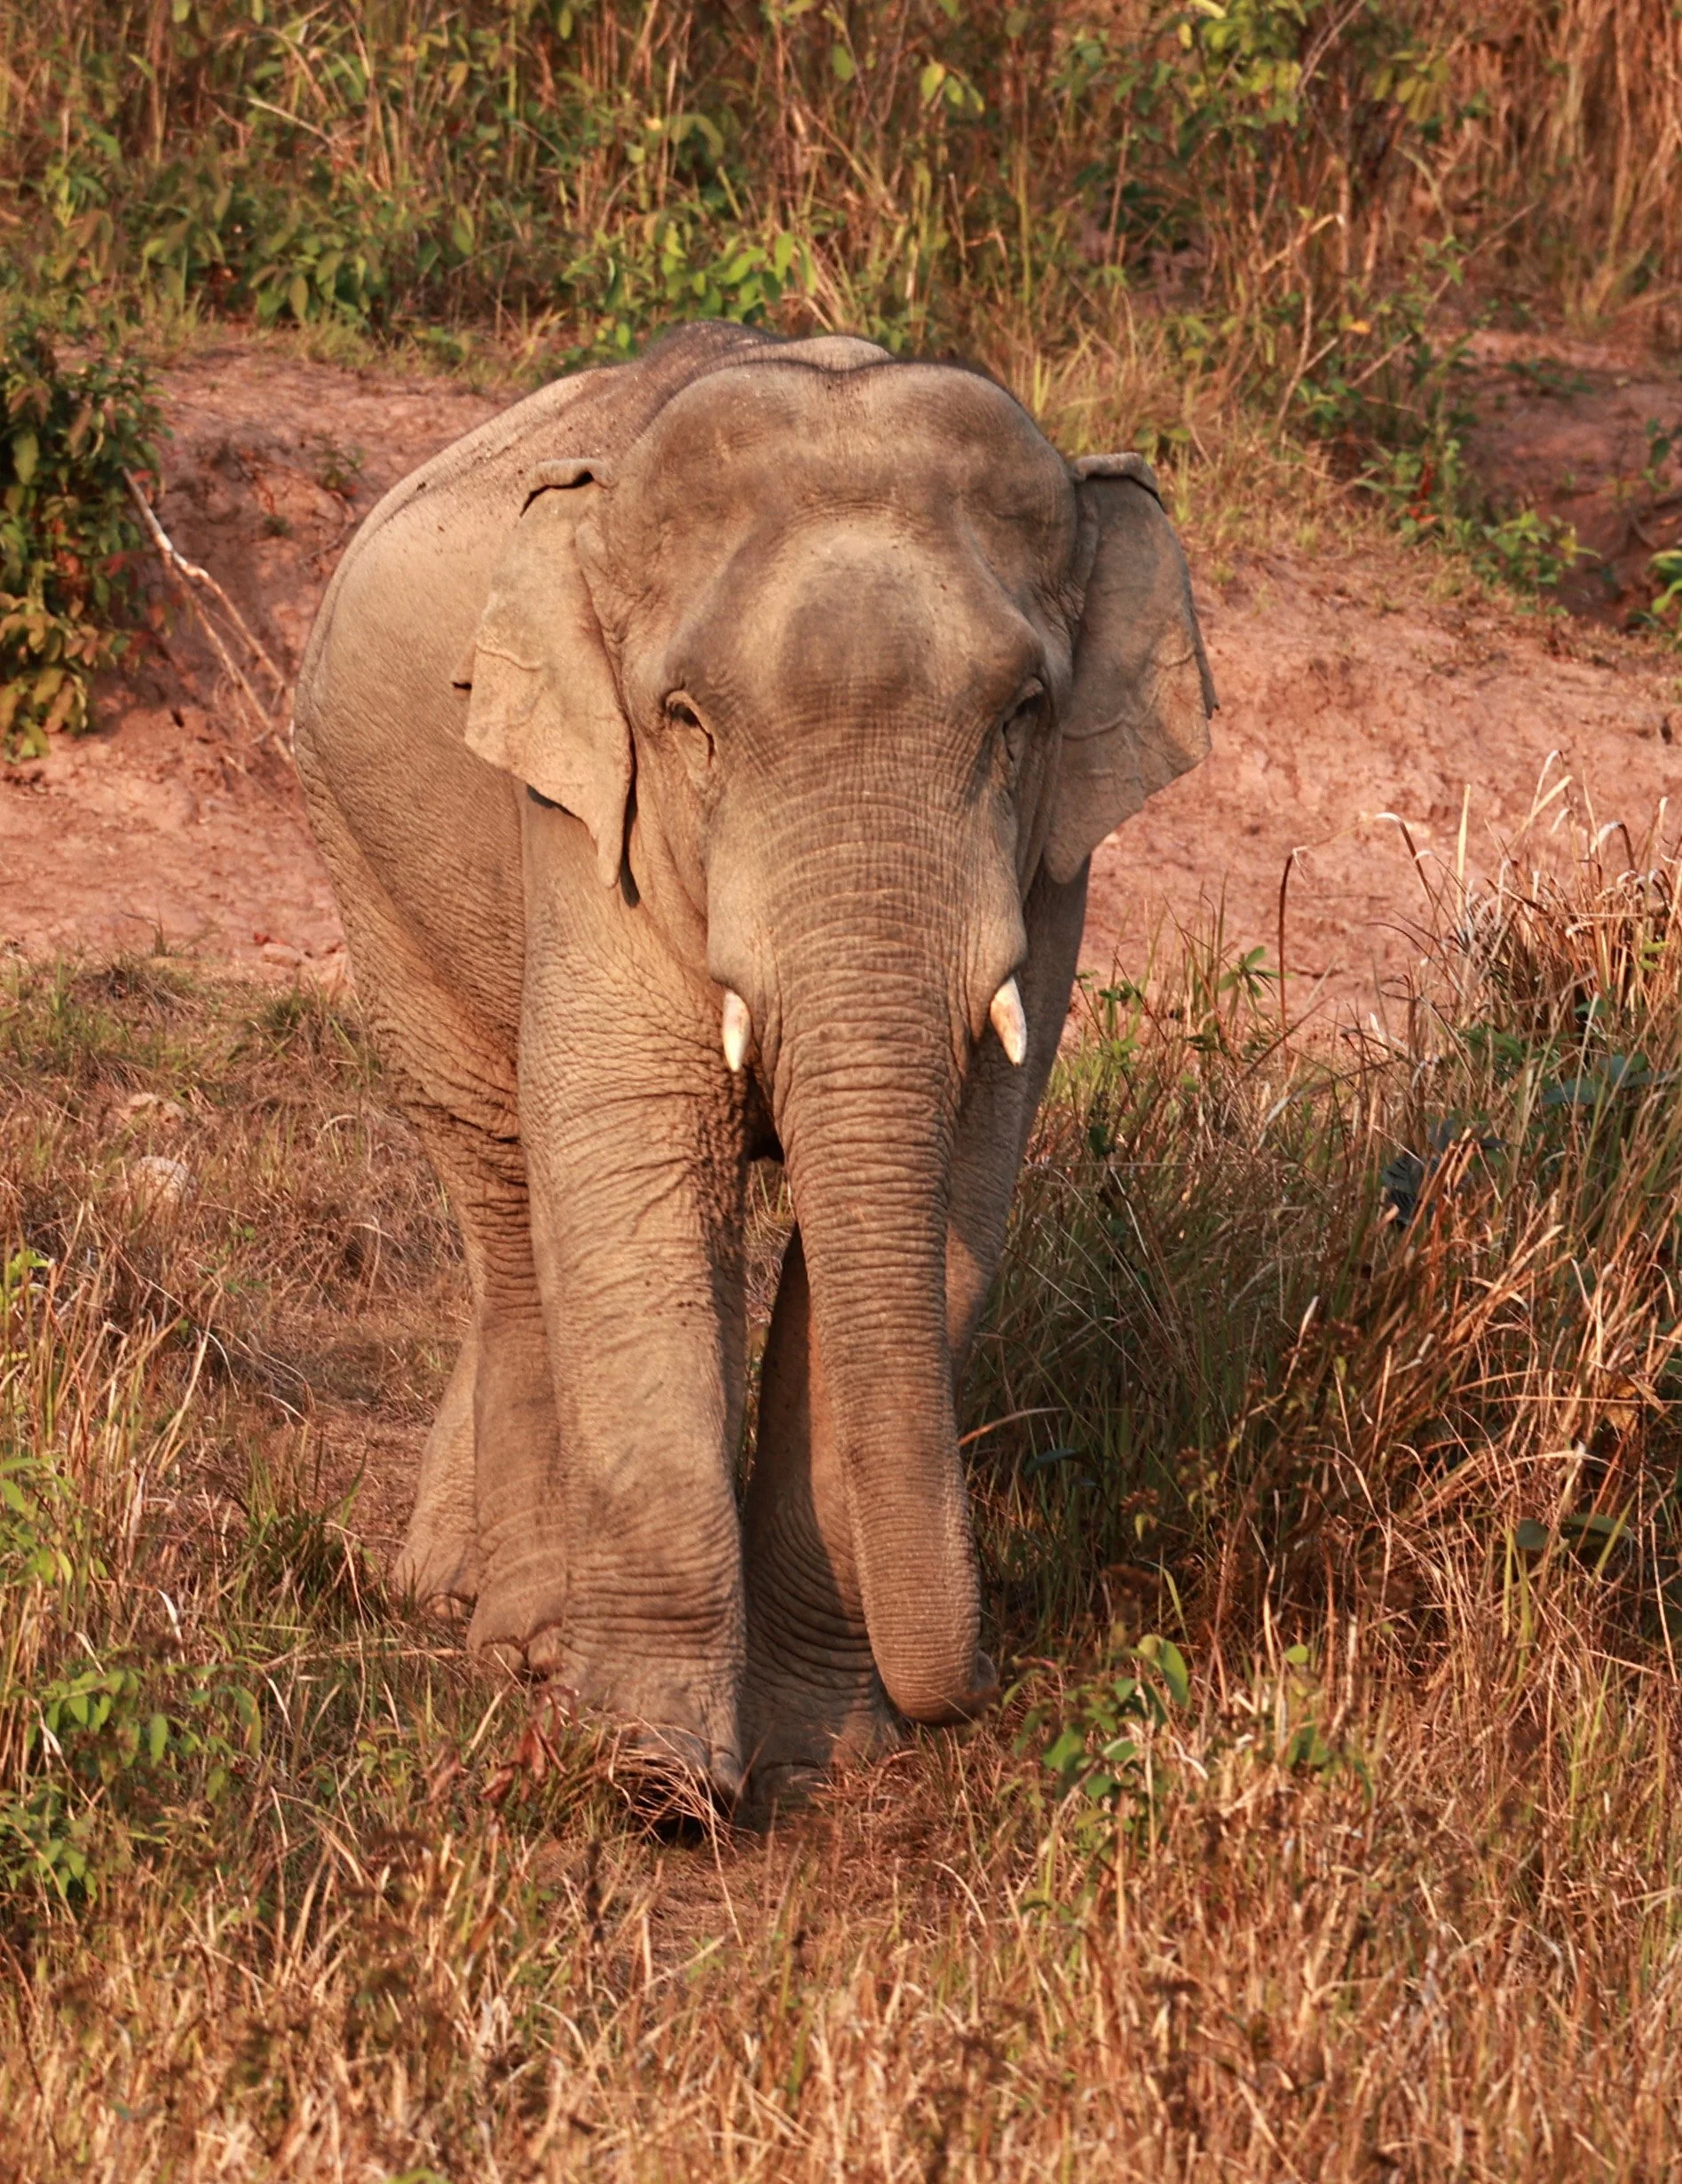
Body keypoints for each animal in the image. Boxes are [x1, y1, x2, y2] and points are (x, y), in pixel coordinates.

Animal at [293, 320, 1214, 1814]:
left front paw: (821, 1749)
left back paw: (449, 1591)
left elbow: (950, 1202)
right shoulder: (579, 817)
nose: (985, 1682)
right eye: (686, 724)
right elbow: (630, 1169)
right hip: (365, 866)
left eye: (1023, 713)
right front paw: (652, 1780)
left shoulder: (1053, 871)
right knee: (505, 1204)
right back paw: (516, 1637)